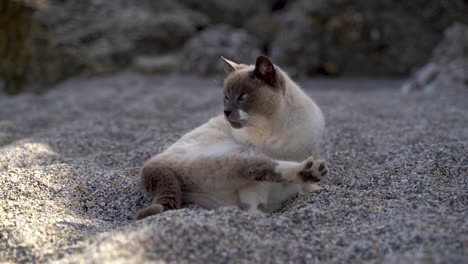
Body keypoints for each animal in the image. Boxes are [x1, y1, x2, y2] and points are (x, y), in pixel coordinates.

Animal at [133, 54, 328, 220]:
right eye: (226, 97)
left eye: (242, 97)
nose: (226, 112)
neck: (275, 127)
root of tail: (150, 166)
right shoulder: (255, 179)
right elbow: (253, 201)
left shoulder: (310, 149)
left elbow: (307, 187)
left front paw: (314, 190)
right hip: (239, 156)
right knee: (260, 172)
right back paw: (309, 172)